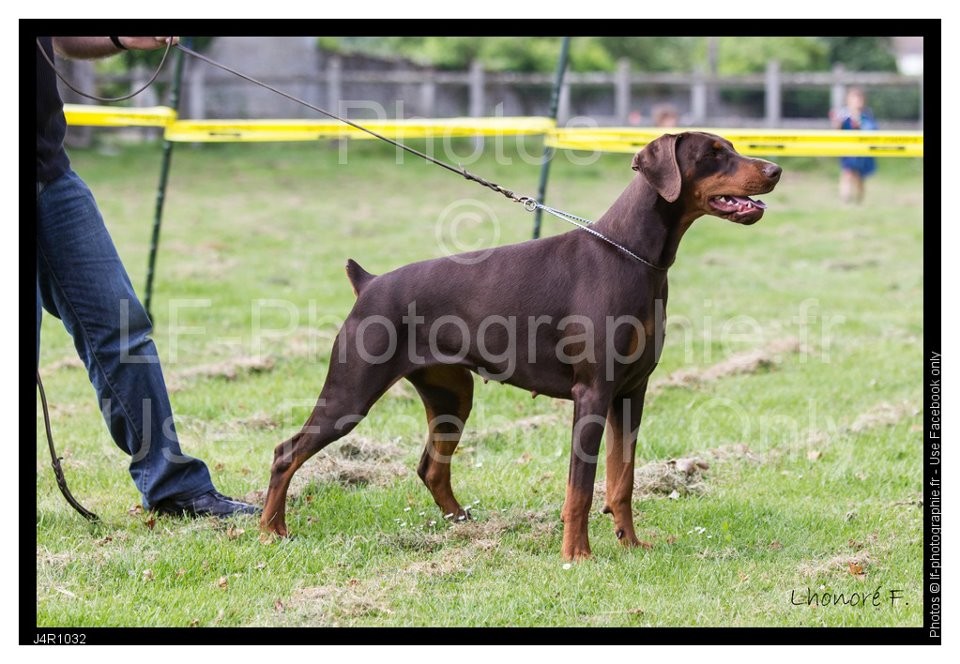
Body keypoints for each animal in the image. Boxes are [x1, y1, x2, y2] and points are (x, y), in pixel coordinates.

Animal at [262, 132, 780, 556]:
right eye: (714, 153)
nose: (775, 169)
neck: (633, 256)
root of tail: (368, 283)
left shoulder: (632, 392)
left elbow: (622, 480)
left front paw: (631, 544)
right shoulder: (592, 392)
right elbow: (580, 487)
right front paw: (577, 554)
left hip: (452, 394)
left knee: (431, 467)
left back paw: (463, 524)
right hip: (351, 392)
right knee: (287, 452)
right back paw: (272, 530)